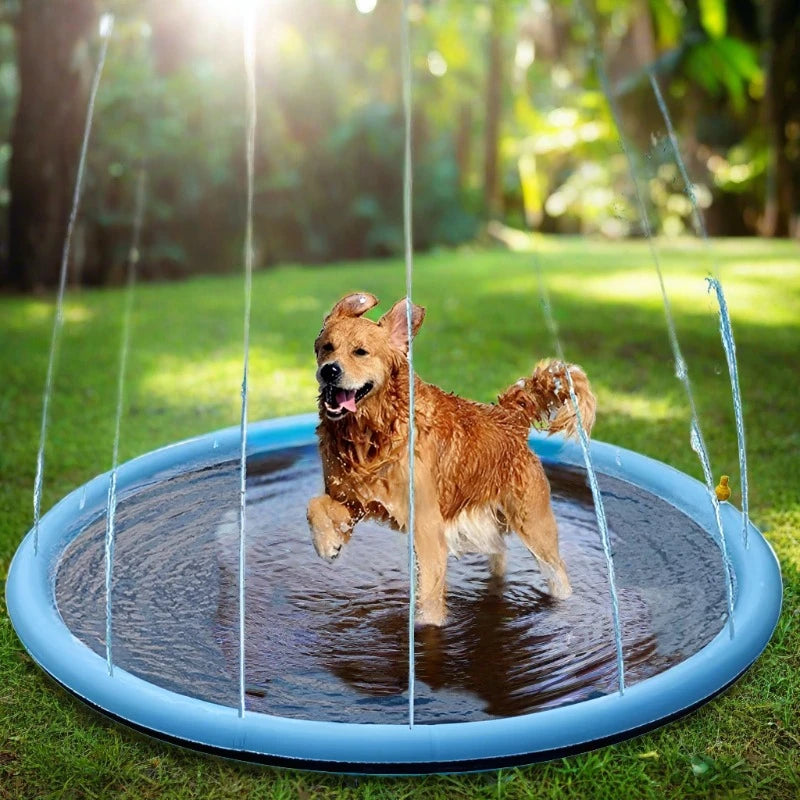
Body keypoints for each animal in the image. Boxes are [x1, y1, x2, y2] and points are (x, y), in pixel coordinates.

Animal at [306, 292, 592, 624]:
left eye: (360, 352)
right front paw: (329, 544)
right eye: (327, 347)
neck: (374, 431)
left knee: (557, 572)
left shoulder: (427, 526)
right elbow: (315, 505)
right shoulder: (354, 500)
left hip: (533, 523)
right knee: (500, 556)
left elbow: (429, 599)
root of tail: (509, 417)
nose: (329, 370)